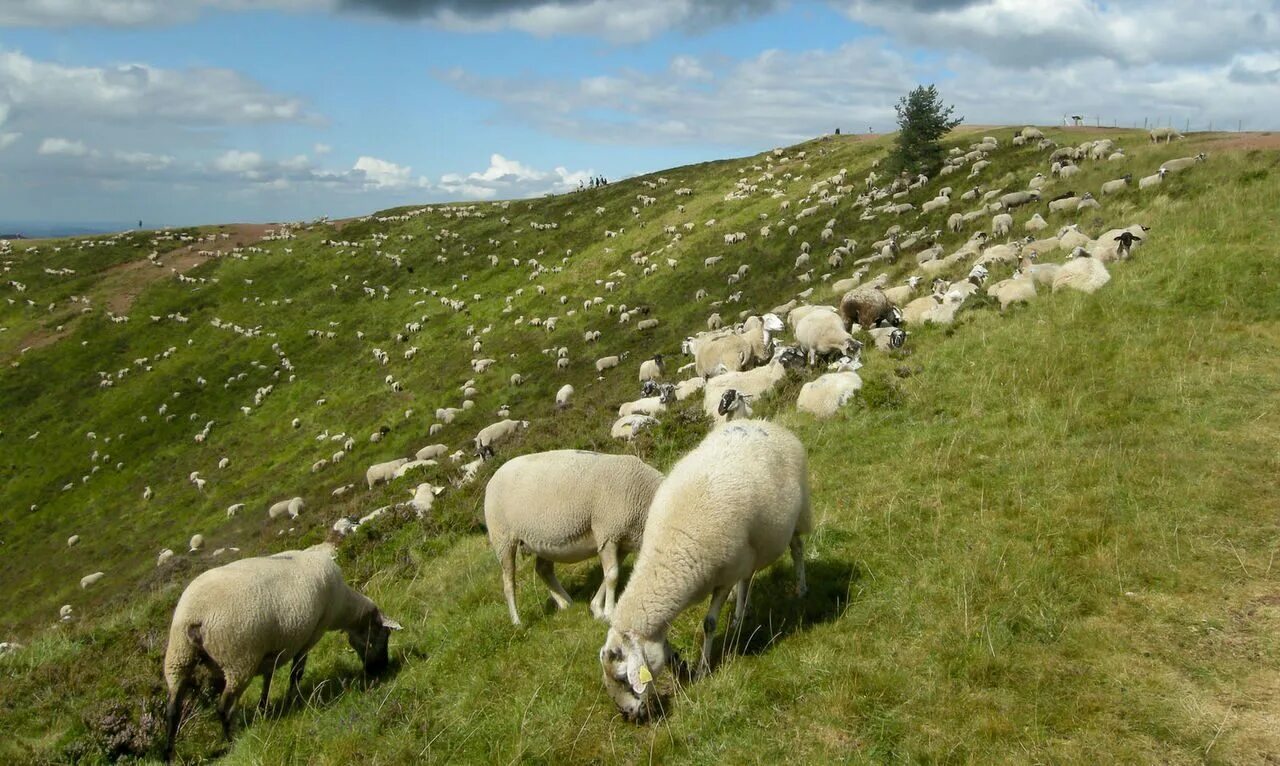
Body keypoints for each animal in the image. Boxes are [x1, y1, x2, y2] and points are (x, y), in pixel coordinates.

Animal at [163, 545, 399, 763]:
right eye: (383, 635)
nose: (381, 669)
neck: (343, 607)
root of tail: (196, 616)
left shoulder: (271, 652)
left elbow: (268, 679)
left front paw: (264, 709)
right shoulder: (311, 635)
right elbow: (296, 673)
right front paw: (295, 699)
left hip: (178, 657)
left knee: (173, 710)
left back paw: (169, 754)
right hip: (238, 659)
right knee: (224, 708)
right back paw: (233, 744)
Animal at [481, 453, 660, 627]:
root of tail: (495, 475)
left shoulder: (622, 542)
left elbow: (610, 574)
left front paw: (597, 609)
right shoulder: (607, 534)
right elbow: (613, 577)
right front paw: (610, 613)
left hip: (543, 542)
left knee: (543, 569)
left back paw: (565, 603)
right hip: (502, 538)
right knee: (509, 582)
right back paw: (517, 621)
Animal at [599, 417, 808, 722]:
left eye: (624, 678)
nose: (630, 715)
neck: (671, 547)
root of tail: (761, 422)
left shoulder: (724, 576)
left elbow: (708, 624)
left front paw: (701, 670)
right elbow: (664, 645)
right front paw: (679, 665)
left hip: (800, 514)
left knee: (798, 549)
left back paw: (801, 589)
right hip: (749, 548)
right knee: (748, 578)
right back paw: (741, 614)